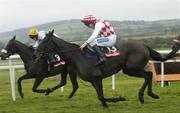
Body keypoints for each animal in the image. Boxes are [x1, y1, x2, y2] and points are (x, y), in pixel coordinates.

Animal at [34, 30, 180, 107]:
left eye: (45, 41)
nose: (35, 54)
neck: (78, 57)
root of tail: (144, 45)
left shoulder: (97, 78)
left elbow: (101, 96)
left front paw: (118, 99)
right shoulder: (93, 80)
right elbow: (101, 97)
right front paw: (108, 104)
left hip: (131, 69)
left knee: (148, 75)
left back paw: (147, 95)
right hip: (129, 69)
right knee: (148, 75)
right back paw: (146, 96)